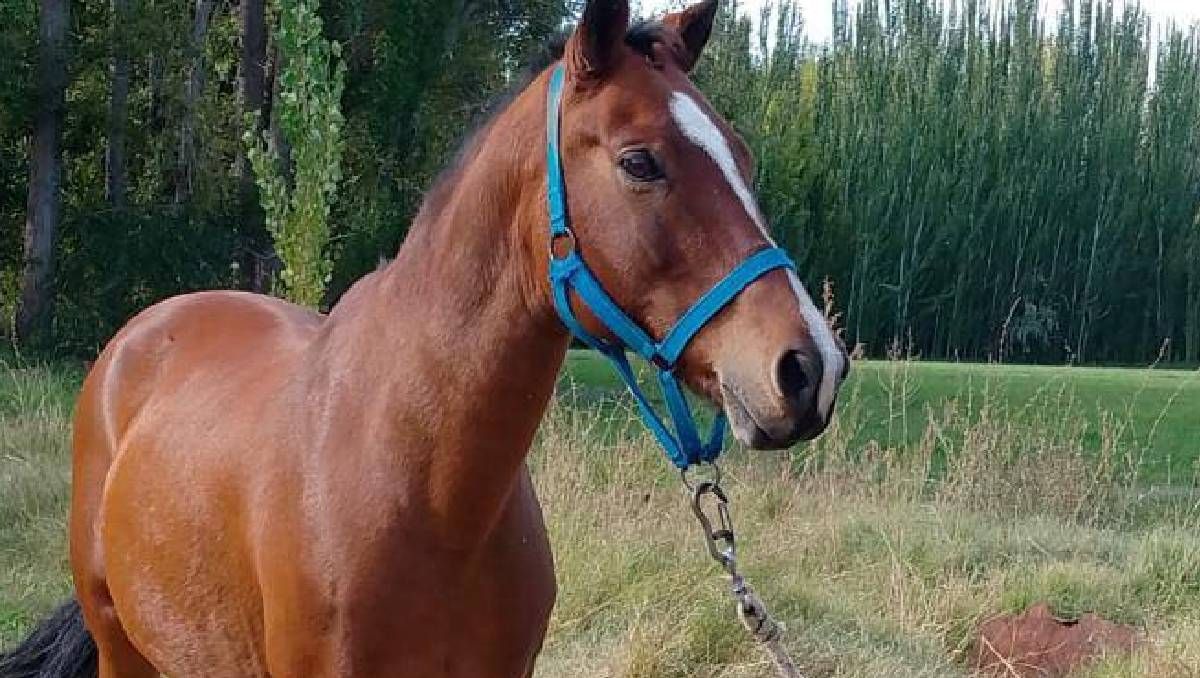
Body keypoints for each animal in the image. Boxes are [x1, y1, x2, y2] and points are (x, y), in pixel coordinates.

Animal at [1, 1, 847, 676]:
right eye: (640, 161)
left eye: (742, 155)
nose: (810, 368)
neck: (426, 488)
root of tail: (141, 337)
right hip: (122, 647)